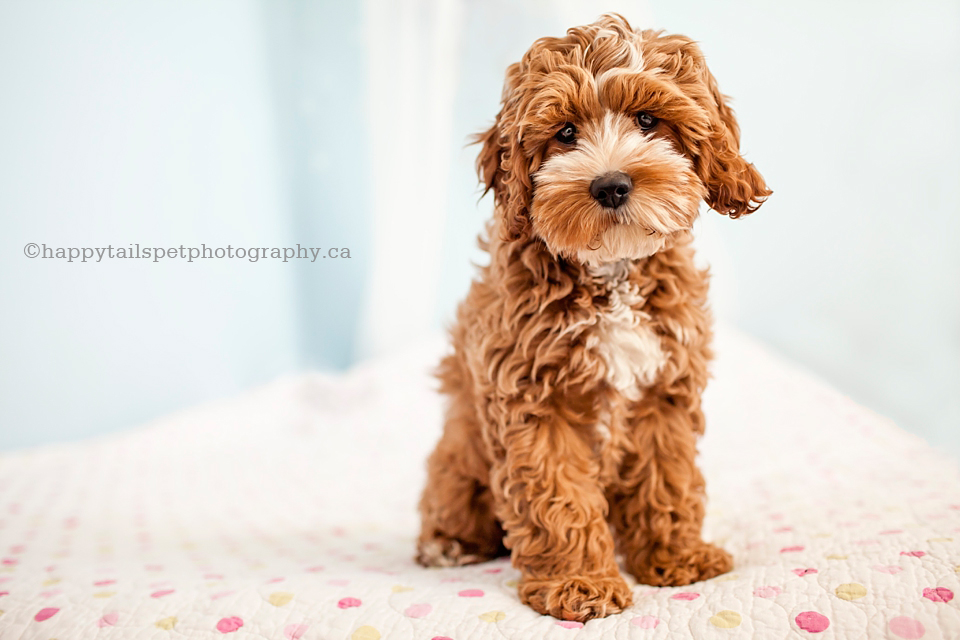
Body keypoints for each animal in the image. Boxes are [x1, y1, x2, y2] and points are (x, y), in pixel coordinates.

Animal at [416, 15, 768, 624]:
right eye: (564, 133)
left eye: (648, 120)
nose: (610, 184)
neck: (611, 271)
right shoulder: (533, 400)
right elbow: (558, 498)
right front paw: (578, 581)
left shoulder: (664, 387)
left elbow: (667, 475)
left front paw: (676, 555)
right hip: (458, 451)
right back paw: (448, 542)